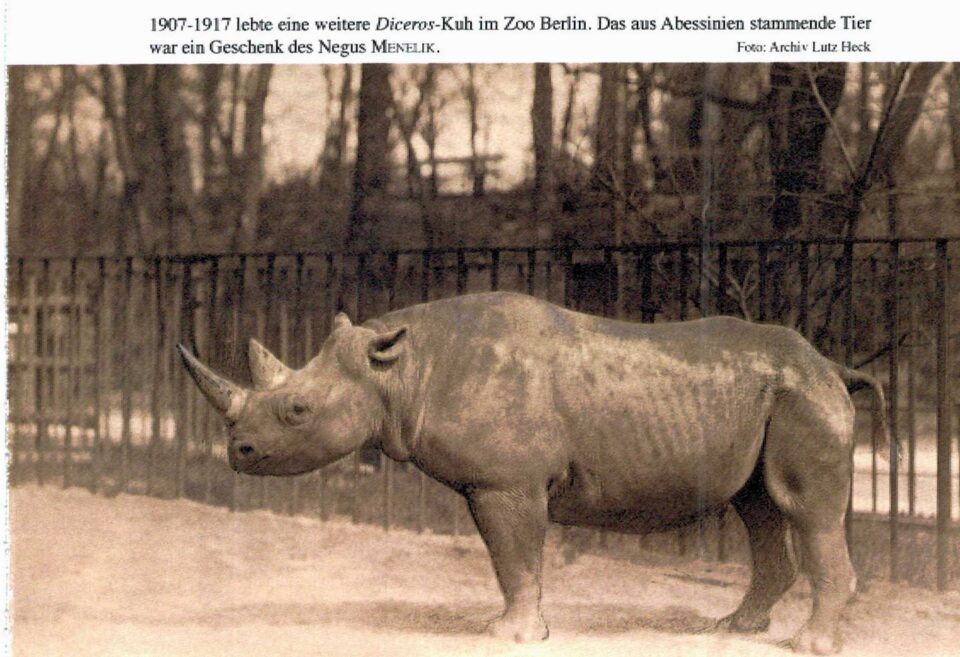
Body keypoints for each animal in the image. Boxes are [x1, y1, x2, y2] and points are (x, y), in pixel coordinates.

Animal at [178, 291, 887, 654]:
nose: (238, 452)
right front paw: (524, 629)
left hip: (803, 398)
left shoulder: (506, 482)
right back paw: (730, 630)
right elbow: (511, 560)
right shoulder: (500, 483)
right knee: (759, 506)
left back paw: (808, 646)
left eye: (296, 411)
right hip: (776, 398)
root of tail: (831, 365)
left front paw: (506, 634)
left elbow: (513, 558)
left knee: (804, 509)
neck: (400, 370)